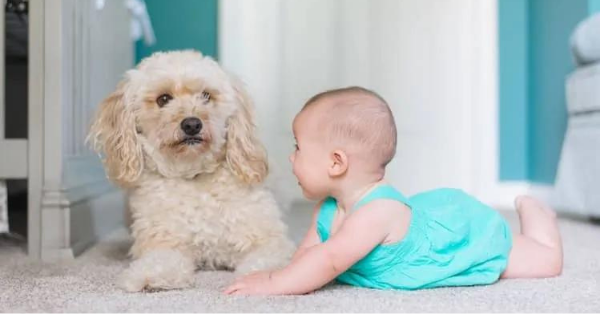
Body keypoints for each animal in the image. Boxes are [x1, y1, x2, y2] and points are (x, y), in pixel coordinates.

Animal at [88, 49, 294, 292]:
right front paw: (150, 275)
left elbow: (266, 259)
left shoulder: (269, 240)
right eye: (163, 99)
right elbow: (160, 260)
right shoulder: (164, 242)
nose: (192, 124)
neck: (194, 176)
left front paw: (261, 278)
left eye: (206, 96)